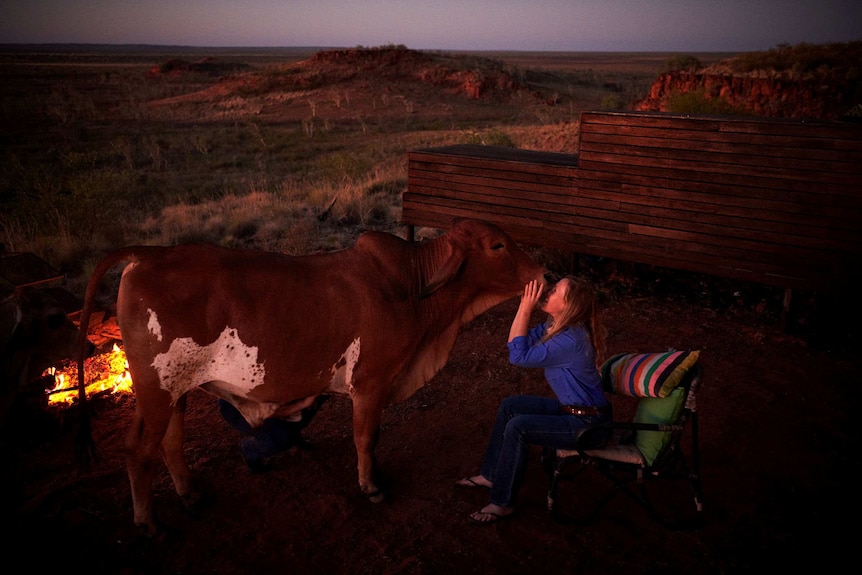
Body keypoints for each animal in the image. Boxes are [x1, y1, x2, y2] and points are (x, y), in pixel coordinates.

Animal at [76, 219, 548, 536]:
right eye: (497, 245)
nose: (541, 274)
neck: (412, 288)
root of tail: (146, 253)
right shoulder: (370, 383)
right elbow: (366, 437)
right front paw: (371, 486)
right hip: (158, 389)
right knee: (140, 451)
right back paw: (148, 522)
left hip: (172, 389)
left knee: (167, 442)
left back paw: (191, 496)